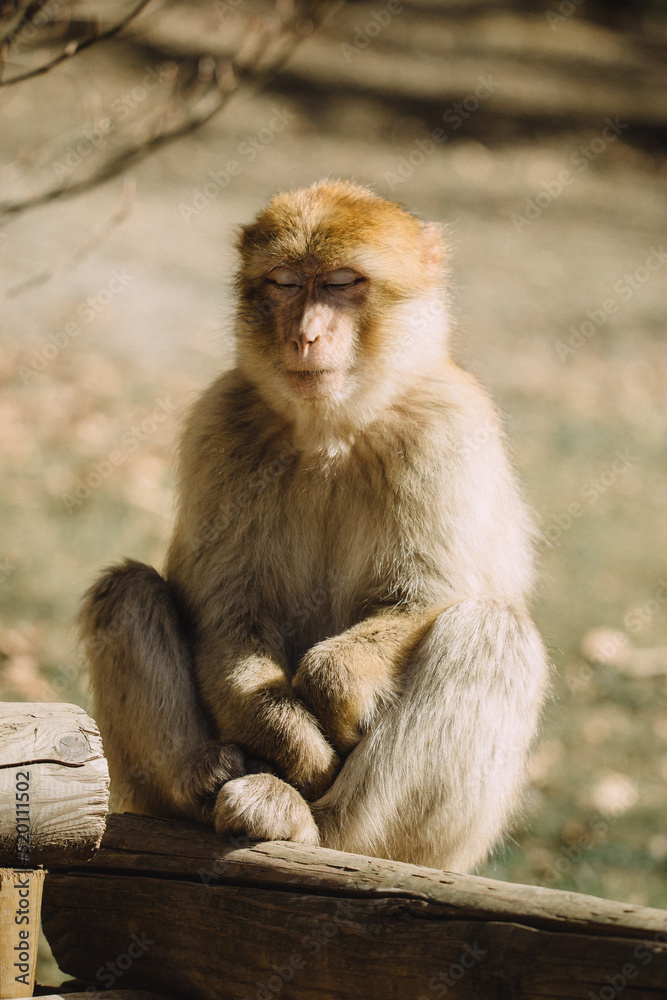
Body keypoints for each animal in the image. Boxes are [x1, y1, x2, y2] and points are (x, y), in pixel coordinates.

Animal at [79, 182, 548, 876]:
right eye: (284, 283)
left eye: (341, 283)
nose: (305, 334)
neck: (333, 429)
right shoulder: (221, 421)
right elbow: (229, 608)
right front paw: (293, 741)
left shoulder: (447, 429)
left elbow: (424, 598)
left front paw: (334, 703)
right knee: (127, 591)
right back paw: (205, 777)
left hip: (436, 850)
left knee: (491, 633)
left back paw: (316, 827)